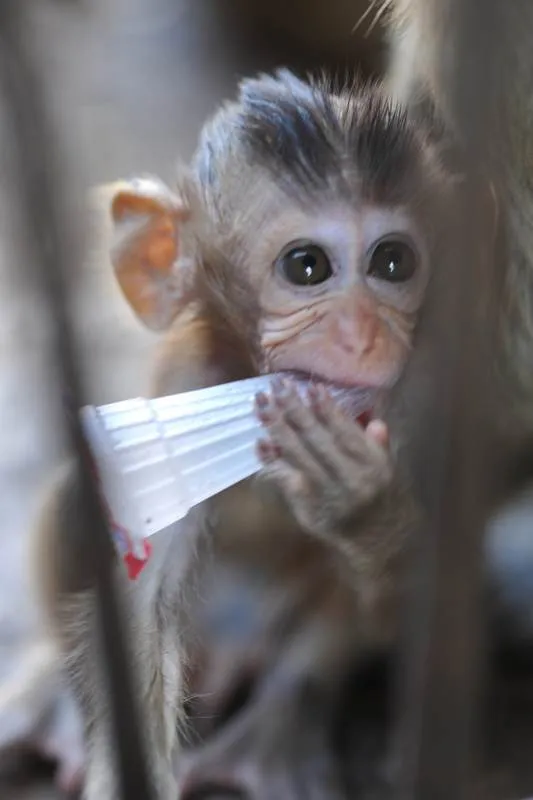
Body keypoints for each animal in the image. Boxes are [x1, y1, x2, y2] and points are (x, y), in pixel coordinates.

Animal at [34, 69, 457, 800]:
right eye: (307, 267)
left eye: (393, 264)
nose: (363, 335)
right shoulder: (186, 383)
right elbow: (140, 607)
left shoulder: (422, 395)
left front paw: (361, 506)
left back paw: (275, 733)